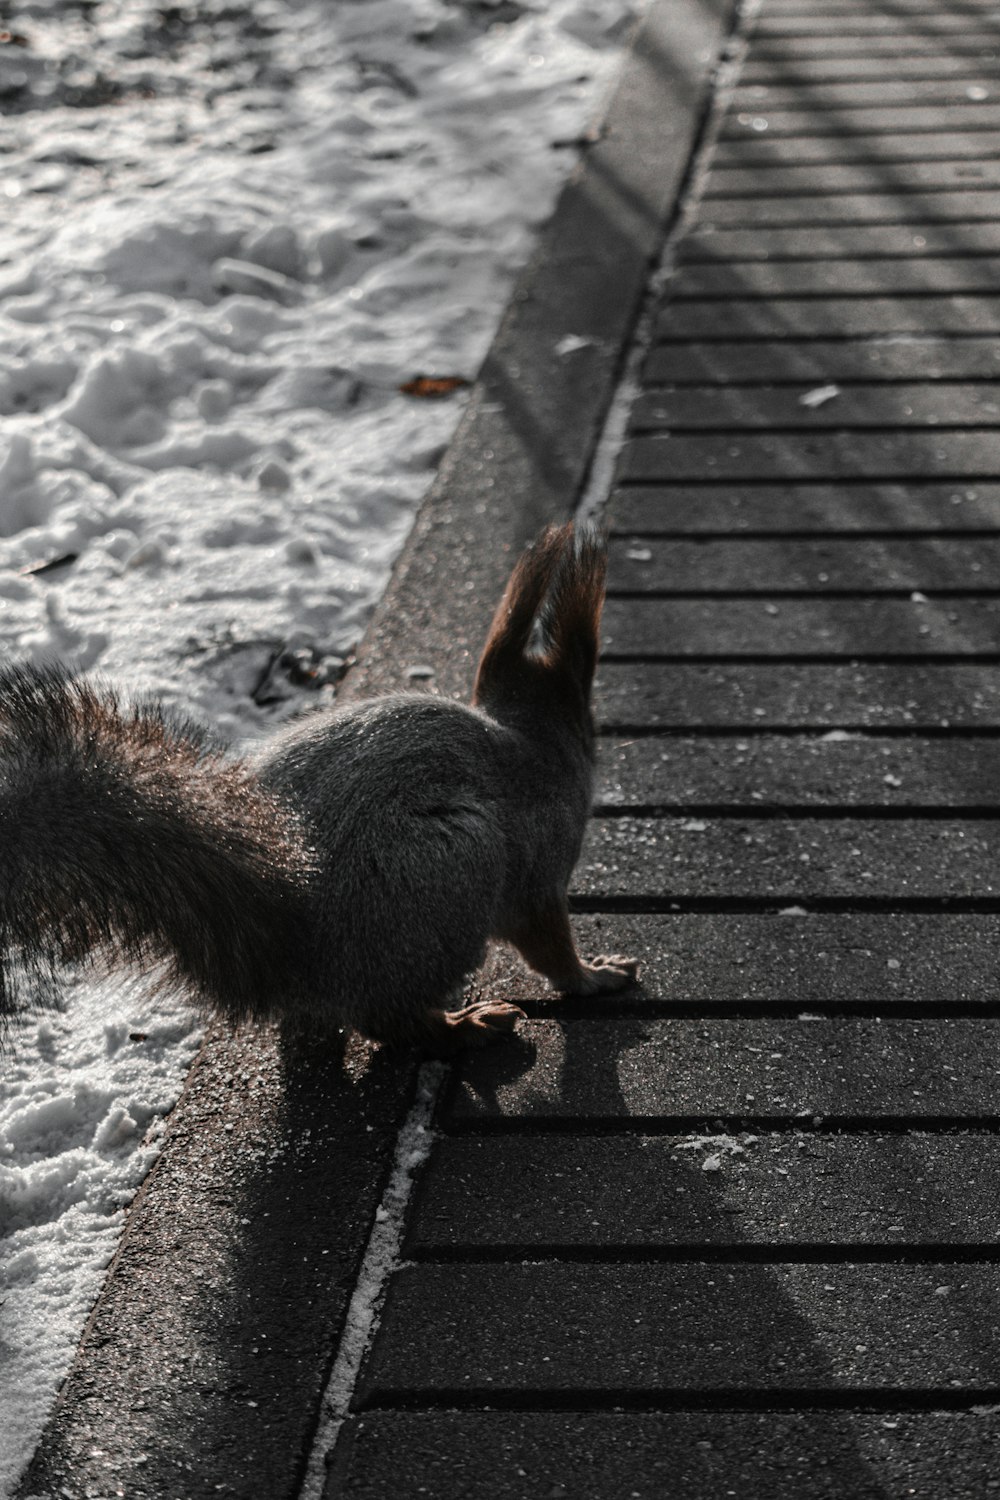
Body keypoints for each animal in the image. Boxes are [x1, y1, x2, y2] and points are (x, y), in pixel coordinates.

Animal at [0, 528, 638, 1056]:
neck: (531, 744)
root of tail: (293, 945)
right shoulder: (539, 873)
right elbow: (548, 944)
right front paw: (594, 975)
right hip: (453, 866)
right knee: (390, 1019)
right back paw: (466, 1026)